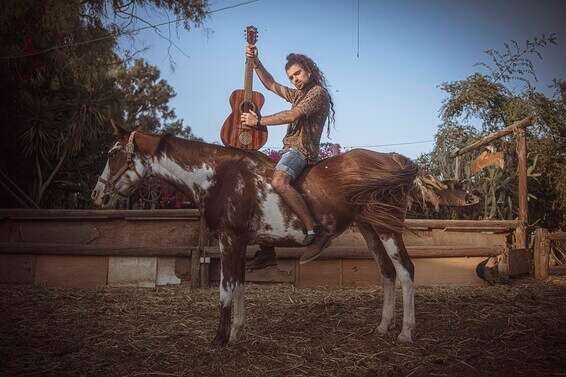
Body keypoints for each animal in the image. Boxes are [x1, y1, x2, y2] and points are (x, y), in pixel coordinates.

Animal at [93, 122, 420, 346]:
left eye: (113, 153)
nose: (98, 194)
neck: (218, 176)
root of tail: (394, 159)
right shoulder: (239, 243)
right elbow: (239, 285)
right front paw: (236, 332)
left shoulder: (229, 241)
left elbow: (226, 289)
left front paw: (219, 339)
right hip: (369, 229)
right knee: (387, 271)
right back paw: (383, 326)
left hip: (388, 229)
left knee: (405, 270)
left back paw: (406, 332)